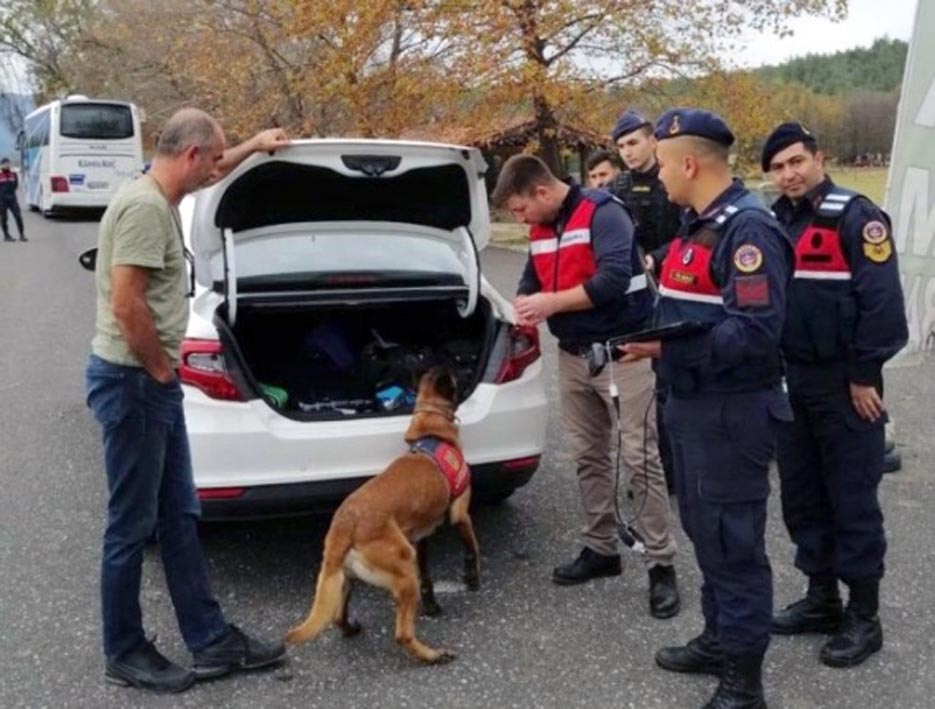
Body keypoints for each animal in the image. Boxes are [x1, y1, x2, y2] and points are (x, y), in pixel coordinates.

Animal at [286, 366, 482, 664]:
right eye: (457, 374)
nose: (469, 370)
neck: (431, 430)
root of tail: (345, 523)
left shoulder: (421, 537)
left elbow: (427, 577)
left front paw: (432, 605)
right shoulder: (460, 514)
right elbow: (472, 547)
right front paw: (472, 578)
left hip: (347, 576)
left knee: (337, 616)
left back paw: (350, 629)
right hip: (403, 565)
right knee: (402, 634)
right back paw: (432, 655)